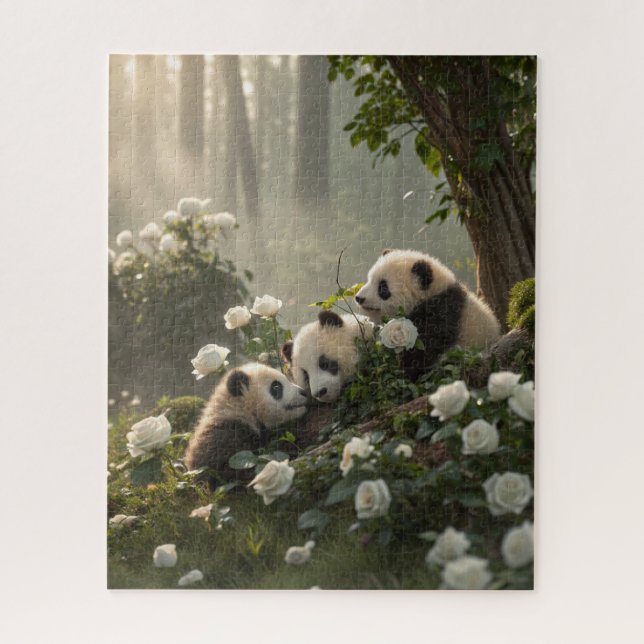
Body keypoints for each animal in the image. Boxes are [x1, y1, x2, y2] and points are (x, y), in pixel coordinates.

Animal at [355, 249, 501, 381]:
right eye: (369, 280)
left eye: (383, 288)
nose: (359, 298)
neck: (433, 293)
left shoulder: (439, 315)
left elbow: (421, 354)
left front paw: (402, 372)